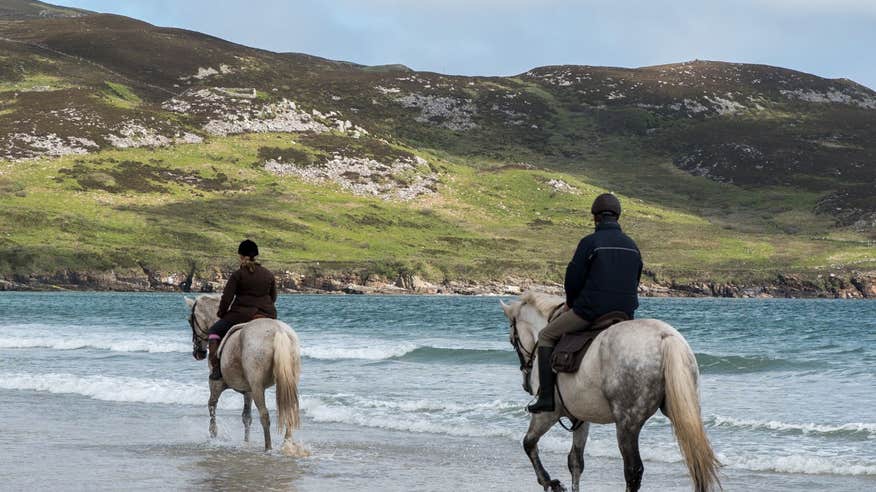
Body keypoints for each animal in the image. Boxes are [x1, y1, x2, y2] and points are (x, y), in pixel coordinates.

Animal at [186, 294, 308, 456]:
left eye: (190, 320)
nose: (198, 353)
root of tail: (278, 331)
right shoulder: (248, 391)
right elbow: (247, 417)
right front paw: (246, 443)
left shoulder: (216, 384)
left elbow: (212, 406)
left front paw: (213, 435)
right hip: (287, 381)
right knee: (289, 411)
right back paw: (286, 445)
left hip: (257, 386)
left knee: (264, 415)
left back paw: (268, 448)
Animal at [500, 292, 720, 492]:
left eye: (512, 341)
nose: (526, 385)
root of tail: (664, 337)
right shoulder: (581, 418)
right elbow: (575, 461)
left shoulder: (548, 413)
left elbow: (529, 443)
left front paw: (549, 482)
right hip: (682, 412)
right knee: (695, 461)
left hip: (627, 425)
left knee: (633, 471)